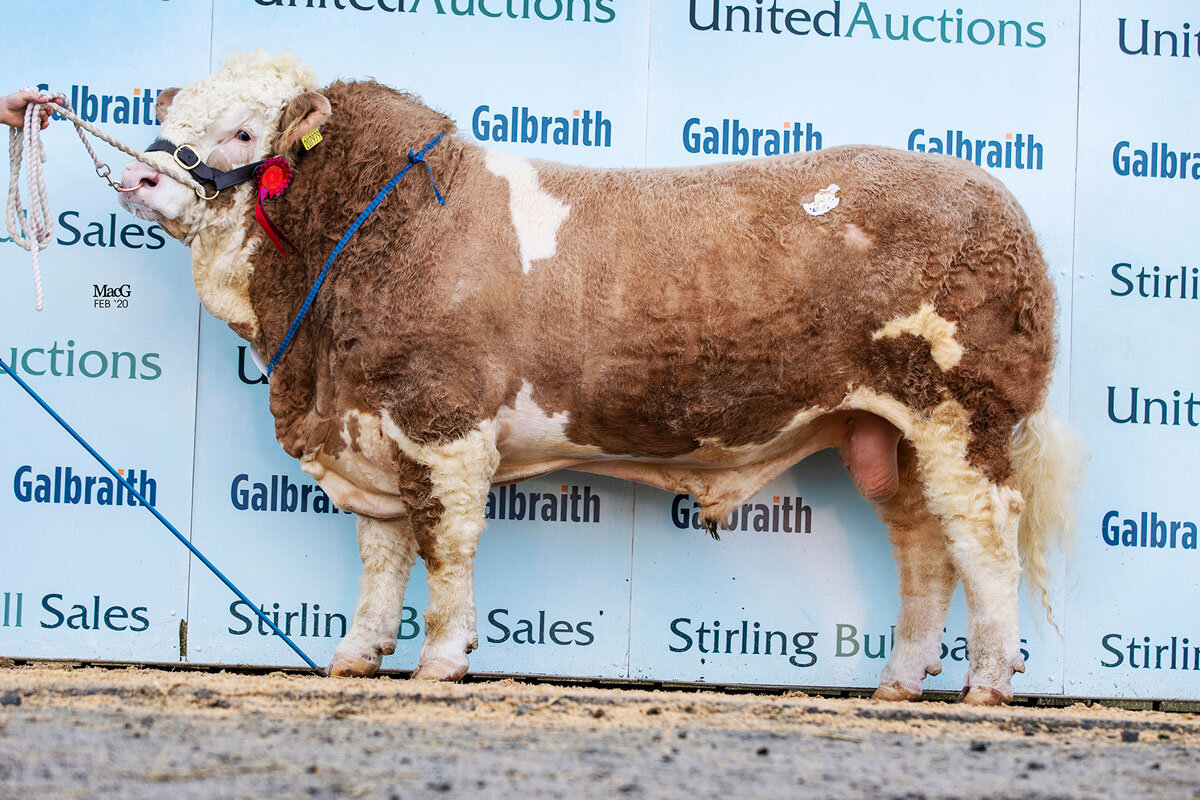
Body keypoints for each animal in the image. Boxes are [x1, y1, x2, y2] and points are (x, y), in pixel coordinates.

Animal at [121, 50, 1089, 705]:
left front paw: (441, 660)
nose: (137, 177)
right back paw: (899, 680)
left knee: (986, 540)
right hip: (889, 433)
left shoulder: (441, 422)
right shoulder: (369, 423)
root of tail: (991, 197)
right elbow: (382, 553)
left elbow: (444, 545)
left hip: (965, 417)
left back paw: (989, 681)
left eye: (244, 132)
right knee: (926, 544)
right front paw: (356, 655)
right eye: (174, 117)